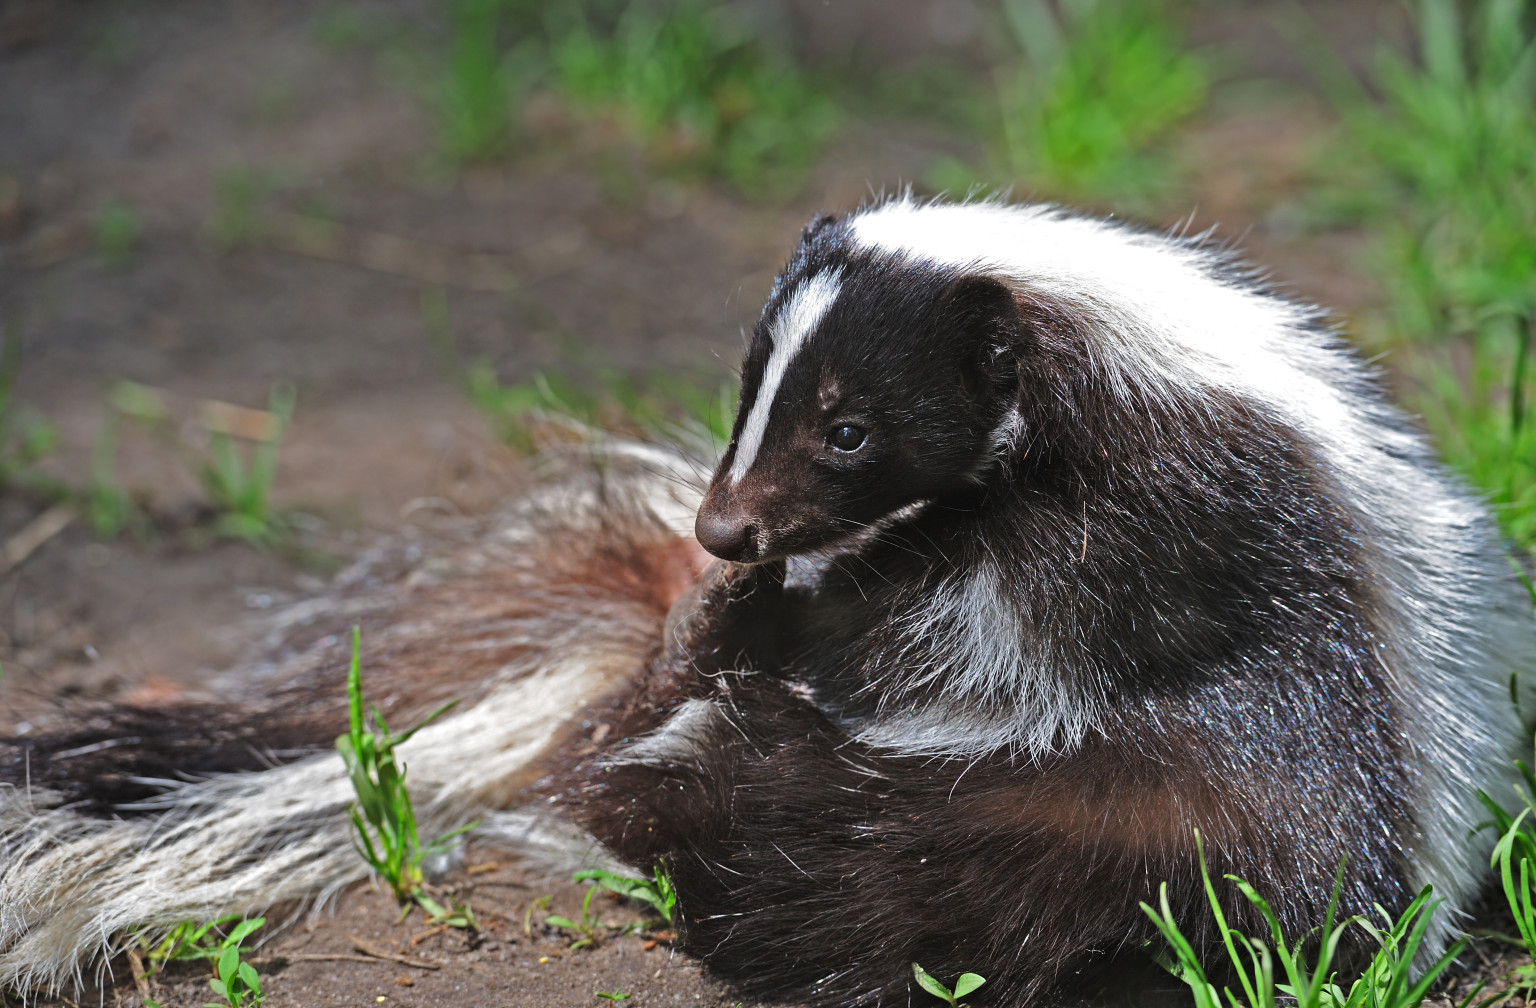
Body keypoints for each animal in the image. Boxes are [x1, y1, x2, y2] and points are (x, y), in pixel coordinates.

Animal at [3, 196, 1536, 1008]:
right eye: (752, 395)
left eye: (850, 428)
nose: (723, 530)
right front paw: (774, 610)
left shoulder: (1167, 537)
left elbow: (997, 640)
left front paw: (813, 618)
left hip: (1113, 832)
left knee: (884, 872)